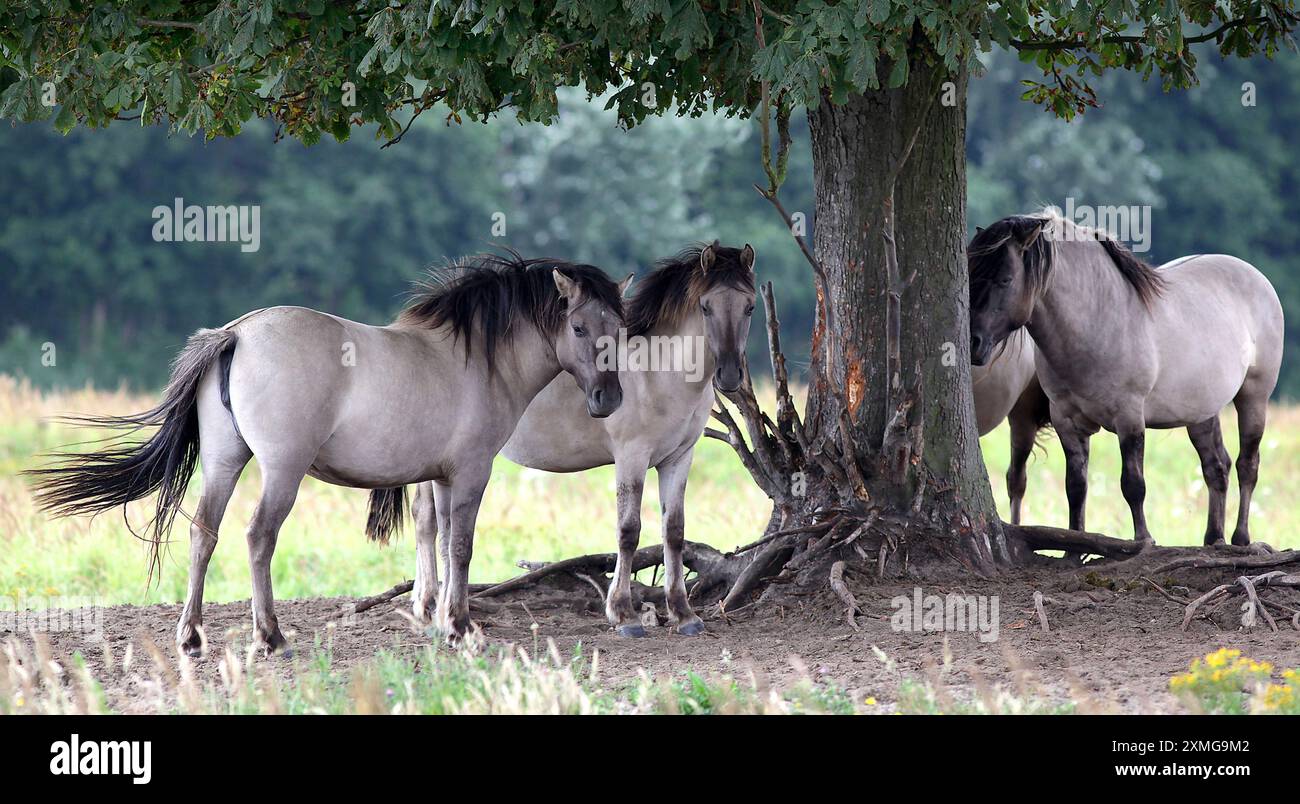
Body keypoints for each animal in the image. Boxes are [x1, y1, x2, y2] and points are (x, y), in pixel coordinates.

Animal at [28, 253, 631, 653]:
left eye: (620, 330)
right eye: (579, 327)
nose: (609, 399)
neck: (477, 359)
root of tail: (236, 333)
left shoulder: (439, 477)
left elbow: (435, 540)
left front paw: (441, 620)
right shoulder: (470, 474)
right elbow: (460, 547)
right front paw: (460, 627)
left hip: (224, 463)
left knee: (204, 533)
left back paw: (191, 636)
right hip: (282, 471)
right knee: (258, 537)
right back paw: (269, 635)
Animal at [409, 242, 756, 638]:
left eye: (749, 306)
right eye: (706, 306)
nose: (729, 375)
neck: (659, 373)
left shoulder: (679, 458)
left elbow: (674, 531)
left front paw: (683, 614)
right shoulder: (631, 457)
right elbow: (629, 531)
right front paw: (623, 614)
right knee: (426, 521)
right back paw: (430, 605)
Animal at [968, 210, 1284, 546]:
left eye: (1005, 279)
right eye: (970, 274)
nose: (973, 342)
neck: (1098, 320)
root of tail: (1256, 277)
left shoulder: (1129, 417)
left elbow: (1133, 484)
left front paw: (1144, 540)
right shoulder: (1066, 420)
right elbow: (1076, 488)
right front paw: (1073, 547)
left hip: (1254, 397)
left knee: (1247, 465)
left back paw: (1240, 538)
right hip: (1202, 411)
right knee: (1217, 467)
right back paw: (1213, 538)